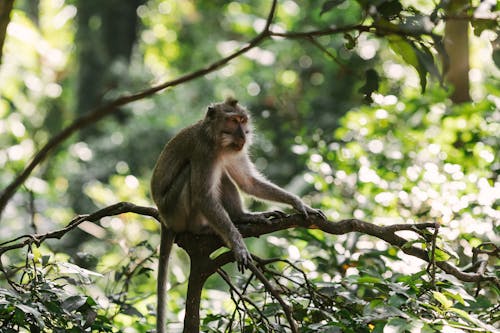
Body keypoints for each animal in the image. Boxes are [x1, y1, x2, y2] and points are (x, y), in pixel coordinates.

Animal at [150, 97, 326, 330]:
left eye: (243, 120)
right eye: (233, 121)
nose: (244, 135)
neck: (217, 141)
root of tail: (164, 218)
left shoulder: (234, 151)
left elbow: (248, 182)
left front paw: (298, 203)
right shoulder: (204, 152)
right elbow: (204, 197)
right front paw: (238, 244)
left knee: (223, 175)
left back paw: (241, 217)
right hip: (175, 210)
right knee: (191, 174)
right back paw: (201, 229)